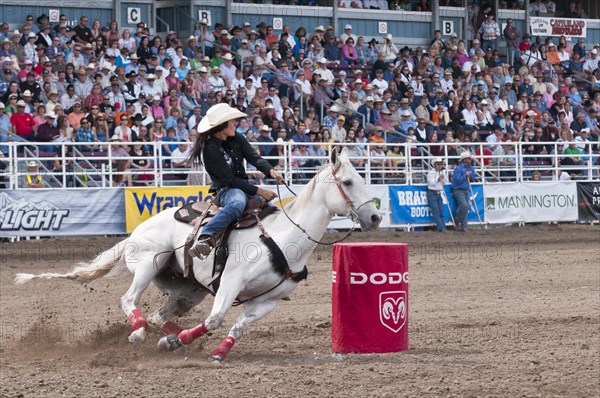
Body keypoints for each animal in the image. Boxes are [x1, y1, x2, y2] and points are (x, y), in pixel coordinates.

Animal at [15, 148, 380, 360]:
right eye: (348, 182)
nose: (375, 217)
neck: (282, 239)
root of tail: (138, 230)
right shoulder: (230, 281)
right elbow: (216, 319)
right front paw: (184, 340)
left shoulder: (268, 301)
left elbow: (236, 327)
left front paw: (213, 351)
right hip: (148, 264)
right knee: (129, 301)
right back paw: (139, 332)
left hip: (189, 290)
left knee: (159, 315)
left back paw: (166, 336)